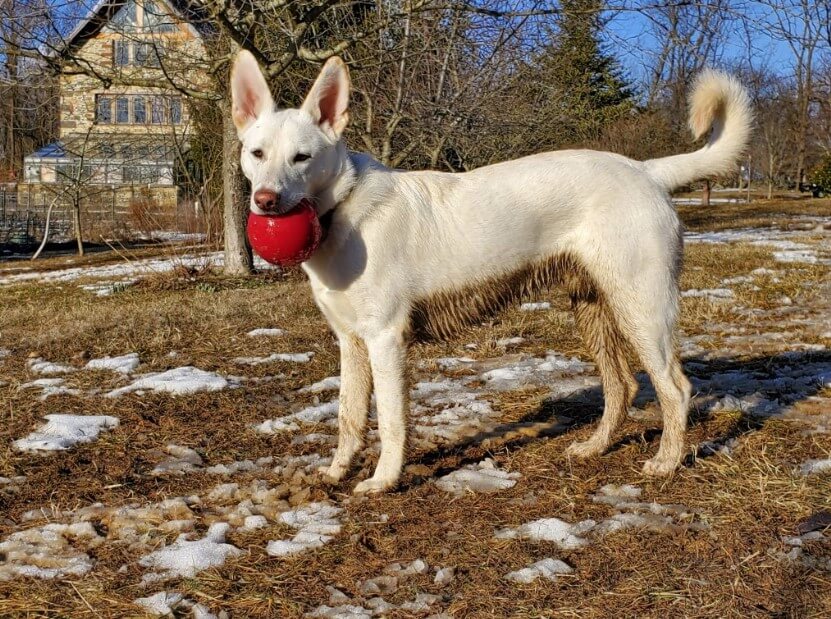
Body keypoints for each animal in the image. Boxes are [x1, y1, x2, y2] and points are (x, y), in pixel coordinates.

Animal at [229, 50, 752, 494]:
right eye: (257, 154)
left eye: (302, 157)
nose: (266, 201)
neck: (343, 207)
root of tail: (646, 170)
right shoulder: (351, 342)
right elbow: (349, 417)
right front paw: (338, 472)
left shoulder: (386, 340)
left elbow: (393, 422)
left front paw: (384, 481)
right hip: (594, 310)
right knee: (621, 387)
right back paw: (593, 447)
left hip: (643, 311)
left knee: (675, 390)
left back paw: (667, 462)